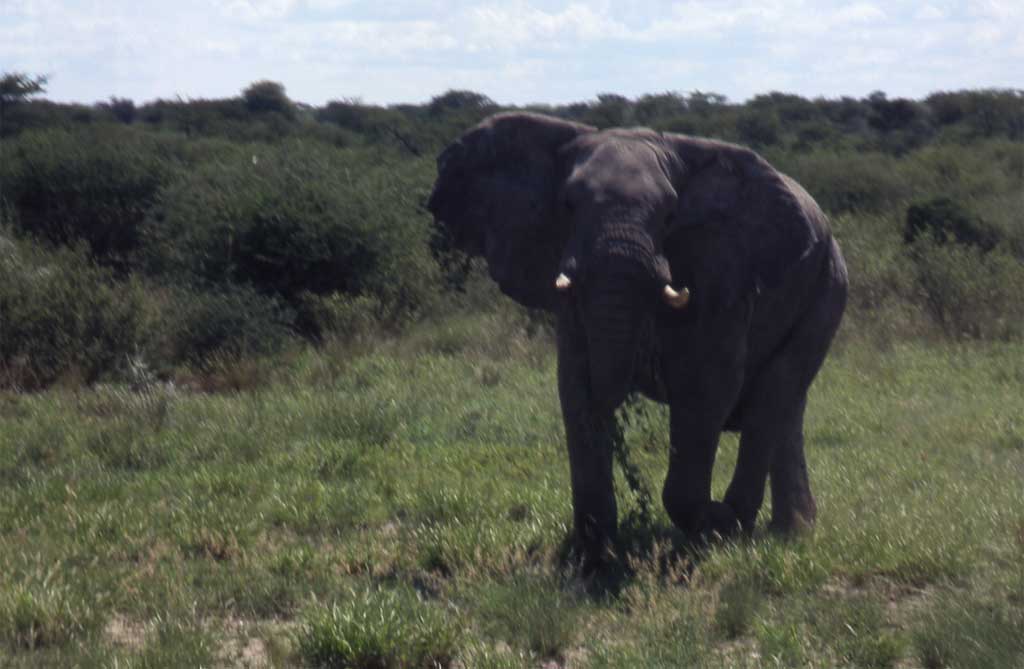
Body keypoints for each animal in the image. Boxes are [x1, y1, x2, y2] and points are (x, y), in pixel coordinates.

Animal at [427, 112, 848, 565]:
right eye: (568, 206)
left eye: (669, 216)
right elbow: (575, 385)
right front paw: (593, 558)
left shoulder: (721, 270)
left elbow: (709, 384)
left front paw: (715, 526)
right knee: (785, 409)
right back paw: (787, 529)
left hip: (828, 288)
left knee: (775, 393)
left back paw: (764, 529)